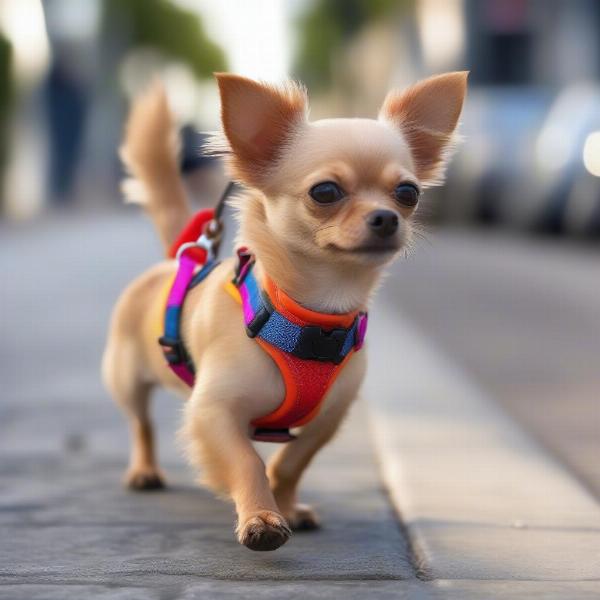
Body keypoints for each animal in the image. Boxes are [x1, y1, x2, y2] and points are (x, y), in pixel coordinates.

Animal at [102, 71, 468, 552]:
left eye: (408, 193)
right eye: (325, 192)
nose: (387, 217)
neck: (314, 316)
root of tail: (175, 259)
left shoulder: (327, 419)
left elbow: (292, 462)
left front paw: (287, 505)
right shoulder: (213, 412)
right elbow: (247, 462)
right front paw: (261, 517)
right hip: (126, 380)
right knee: (140, 423)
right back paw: (144, 470)